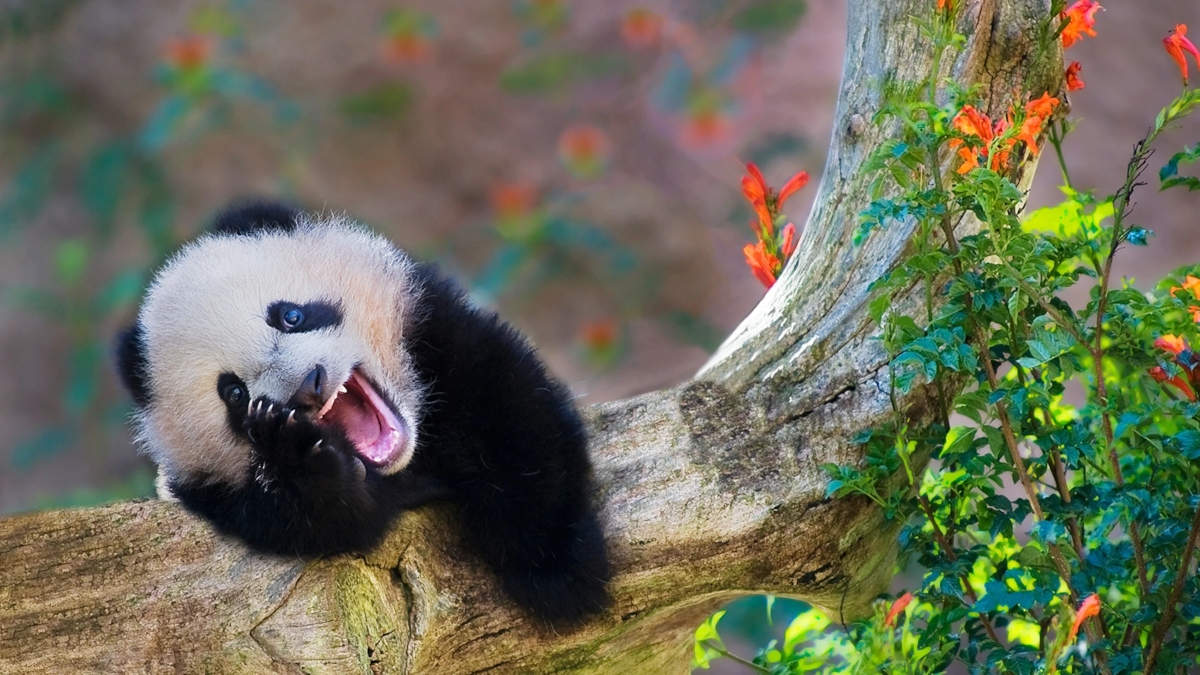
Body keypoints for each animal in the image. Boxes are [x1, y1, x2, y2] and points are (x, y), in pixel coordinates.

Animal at [114, 201, 610, 624]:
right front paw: (296, 460)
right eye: (233, 392)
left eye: (290, 316)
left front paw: (556, 571)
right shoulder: (214, 494)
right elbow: (327, 524)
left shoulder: (432, 330)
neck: (407, 461)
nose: (306, 388)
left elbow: (510, 415)